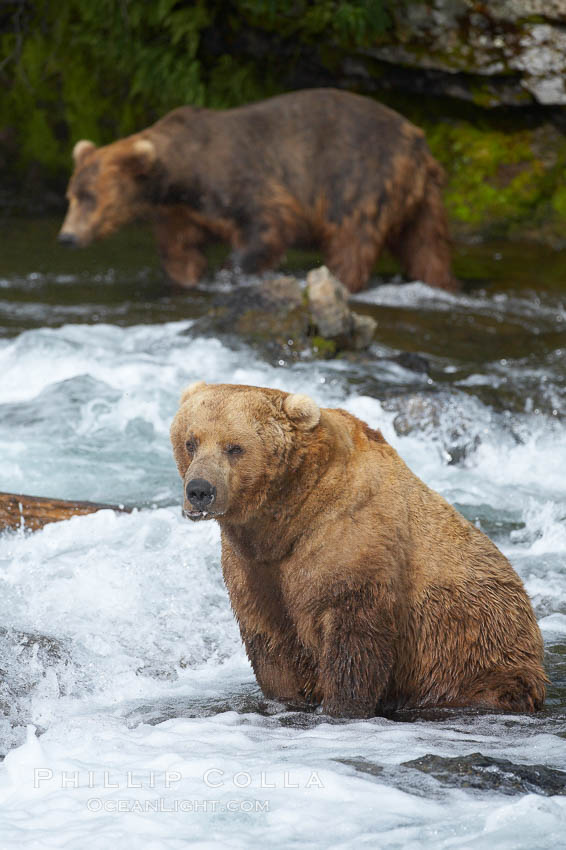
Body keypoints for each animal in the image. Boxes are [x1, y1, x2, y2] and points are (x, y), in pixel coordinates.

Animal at [57, 86, 458, 292]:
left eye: (91, 198)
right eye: (72, 196)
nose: (66, 237)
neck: (181, 174)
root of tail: (419, 145)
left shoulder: (240, 179)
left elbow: (268, 224)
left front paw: (229, 273)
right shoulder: (181, 211)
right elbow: (179, 248)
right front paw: (189, 276)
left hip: (362, 176)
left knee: (353, 238)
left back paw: (339, 279)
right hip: (424, 200)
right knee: (427, 246)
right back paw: (439, 282)